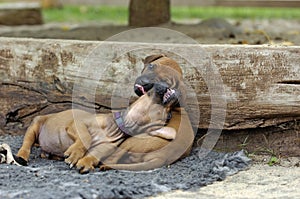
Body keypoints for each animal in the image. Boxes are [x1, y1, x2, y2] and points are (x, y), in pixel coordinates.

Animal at [16, 82, 179, 173]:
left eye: (168, 115)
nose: (166, 86)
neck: (115, 128)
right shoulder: (77, 124)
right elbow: (86, 137)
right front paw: (74, 153)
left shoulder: (104, 148)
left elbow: (93, 155)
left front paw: (85, 162)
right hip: (36, 123)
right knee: (27, 143)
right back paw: (22, 156)